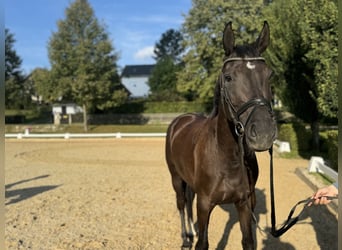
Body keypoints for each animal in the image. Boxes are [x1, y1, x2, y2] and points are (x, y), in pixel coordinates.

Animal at [166, 22, 278, 250]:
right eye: (228, 78)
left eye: (269, 75)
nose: (263, 133)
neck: (227, 156)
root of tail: (180, 121)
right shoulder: (204, 204)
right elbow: (203, 243)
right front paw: (193, 239)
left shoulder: (244, 203)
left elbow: (248, 241)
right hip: (176, 178)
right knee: (181, 204)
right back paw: (185, 238)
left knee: (187, 202)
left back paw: (190, 233)